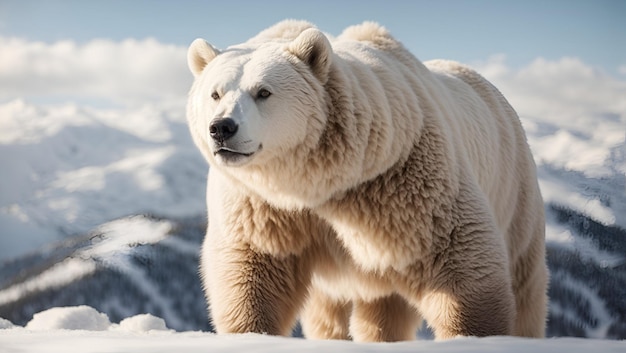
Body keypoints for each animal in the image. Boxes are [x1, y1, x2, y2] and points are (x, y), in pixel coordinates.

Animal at [185, 20, 544, 340]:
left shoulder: (401, 179)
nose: (222, 127)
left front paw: (472, 333)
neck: (316, 181)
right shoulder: (262, 205)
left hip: (514, 188)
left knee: (525, 281)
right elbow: (253, 271)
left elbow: (460, 257)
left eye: (263, 92)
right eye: (215, 93)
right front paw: (252, 332)